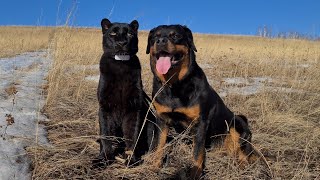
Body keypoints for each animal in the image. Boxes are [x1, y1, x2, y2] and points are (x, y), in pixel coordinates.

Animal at [92, 18, 155, 167]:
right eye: (113, 33)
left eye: (130, 34)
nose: (122, 42)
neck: (121, 65)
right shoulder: (105, 107)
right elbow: (106, 135)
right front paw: (104, 158)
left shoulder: (133, 107)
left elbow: (132, 135)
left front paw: (131, 159)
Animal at [147, 25, 255, 179]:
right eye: (155, 37)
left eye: (176, 36)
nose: (161, 41)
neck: (175, 85)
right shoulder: (162, 120)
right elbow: (159, 146)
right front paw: (154, 166)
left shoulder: (200, 123)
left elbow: (197, 153)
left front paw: (195, 174)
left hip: (237, 123)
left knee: (243, 152)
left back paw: (242, 166)